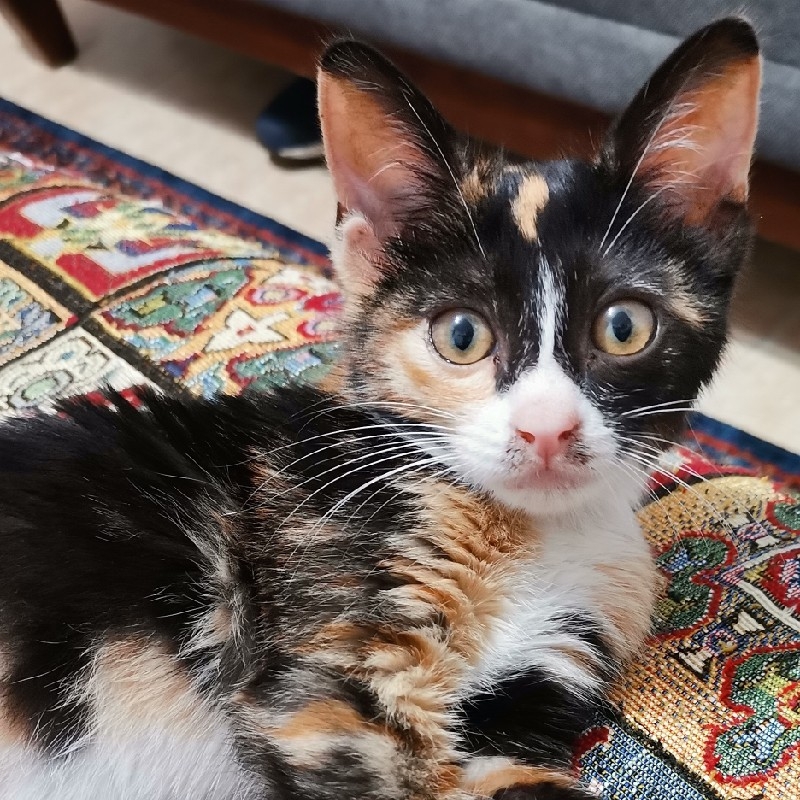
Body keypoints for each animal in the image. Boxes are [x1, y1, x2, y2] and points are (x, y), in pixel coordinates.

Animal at [0, 17, 760, 800]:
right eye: (462, 335)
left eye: (624, 327)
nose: (546, 429)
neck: (539, 531)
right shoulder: (324, 682)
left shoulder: (544, 668)